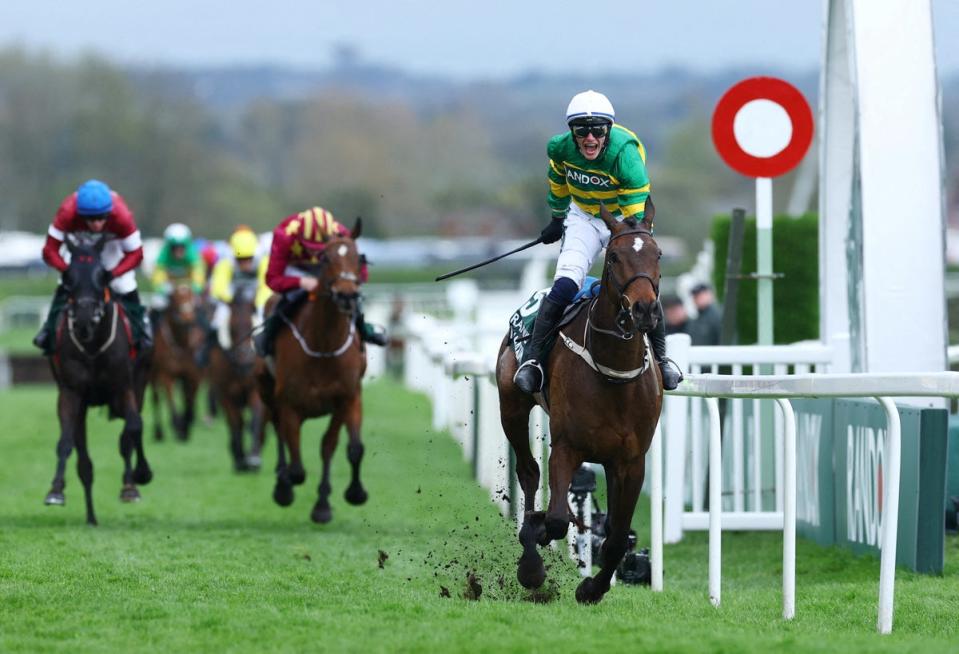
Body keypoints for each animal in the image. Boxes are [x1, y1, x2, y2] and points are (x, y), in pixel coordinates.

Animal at [44, 236, 153, 528]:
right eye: (68, 277)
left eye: (102, 276)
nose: (83, 319)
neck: (92, 345)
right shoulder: (71, 393)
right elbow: (66, 442)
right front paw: (56, 490)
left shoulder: (124, 387)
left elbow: (132, 429)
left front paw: (134, 481)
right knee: (84, 462)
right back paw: (91, 516)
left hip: (139, 385)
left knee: (135, 427)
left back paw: (135, 479)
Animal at [149, 284, 203, 440]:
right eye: (174, 298)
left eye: (192, 297)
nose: (187, 317)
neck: (181, 343)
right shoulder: (166, 374)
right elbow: (170, 400)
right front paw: (177, 425)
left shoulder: (194, 375)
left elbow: (189, 402)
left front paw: (186, 426)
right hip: (152, 375)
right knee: (156, 399)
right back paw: (158, 432)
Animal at [210, 282, 266, 472]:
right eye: (231, 327)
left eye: (251, 325)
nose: (246, 360)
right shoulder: (225, 394)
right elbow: (236, 423)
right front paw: (239, 458)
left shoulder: (256, 390)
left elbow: (256, 419)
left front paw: (254, 457)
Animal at [255, 223, 368, 524]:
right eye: (325, 258)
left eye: (358, 257)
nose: (346, 294)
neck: (323, 346)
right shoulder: (289, 404)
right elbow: (296, 467)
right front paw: (285, 487)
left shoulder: (345, 399)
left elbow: (337, 447)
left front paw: (330, 502)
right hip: (266, 390)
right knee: (278, 431)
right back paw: (282, 485)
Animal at [498, 204, 664, 604]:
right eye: (615, 256)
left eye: (658, 255)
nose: (645, 310)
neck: (613, 372)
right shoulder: (566, 447)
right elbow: (557, 519)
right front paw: (535, 550)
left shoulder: (631, 461)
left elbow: (617, 537)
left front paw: (592, 587)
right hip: (511, 408)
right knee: (528, 472)